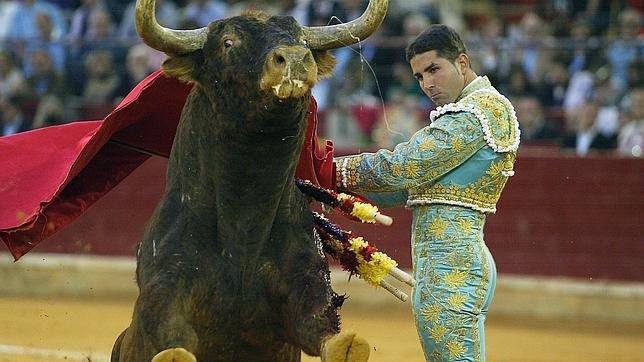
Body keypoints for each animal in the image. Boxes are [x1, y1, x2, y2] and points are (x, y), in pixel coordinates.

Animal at [110, 0, 388, 362]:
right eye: (228, 43)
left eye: (303, 39)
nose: (295, 59)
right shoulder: (165, 287)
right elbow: (174, 344)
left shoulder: (306, 283)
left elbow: (327, 330)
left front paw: (348, 346)